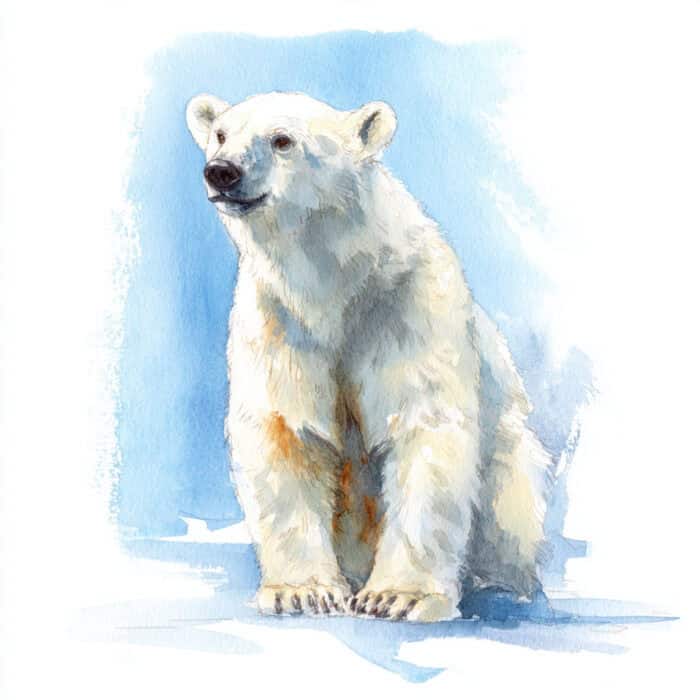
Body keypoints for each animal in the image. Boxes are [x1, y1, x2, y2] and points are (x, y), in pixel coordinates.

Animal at [185, 91, 551, 622]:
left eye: (282, 140)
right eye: (220, 134)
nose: (222, 171)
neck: (336, 285)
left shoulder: (407, 308)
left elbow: (424, 429)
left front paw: (398, 596)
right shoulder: (279, 320)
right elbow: (285, 430)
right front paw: (301, 592)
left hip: (510, 463)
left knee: (511, 506)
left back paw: (500, 582)